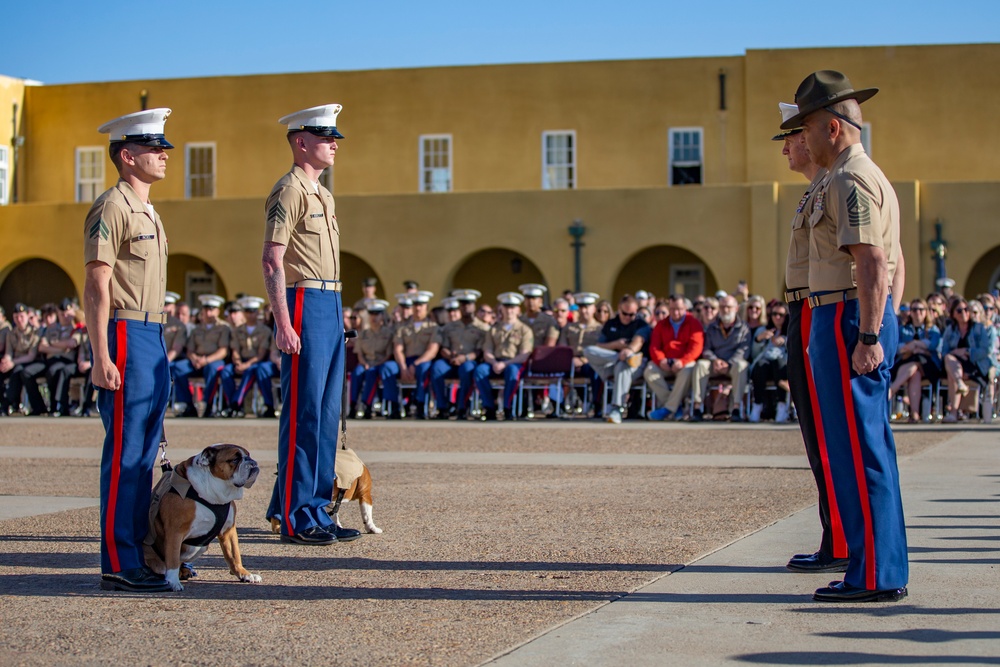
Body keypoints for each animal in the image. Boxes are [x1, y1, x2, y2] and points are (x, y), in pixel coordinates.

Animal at [146, 446, 264, 592]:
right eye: (235, 459)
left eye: (249, 455)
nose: (252, 462)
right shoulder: (175, 532)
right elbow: (172, 559)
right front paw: (173, 582)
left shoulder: (228, 530)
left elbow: (234, 555)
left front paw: (244, 574)